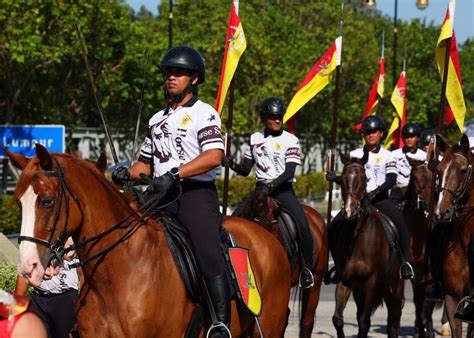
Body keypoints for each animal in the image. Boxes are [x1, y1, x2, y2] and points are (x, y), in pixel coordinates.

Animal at [330, 153, 404, 338]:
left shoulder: (373, 282)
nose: (350, 211)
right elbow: (338, 319)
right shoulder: (345, 281)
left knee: (395, 317)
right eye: (342, 179)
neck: (357, 239)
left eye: (363, 179)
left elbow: (364, 322)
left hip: (395, 285)